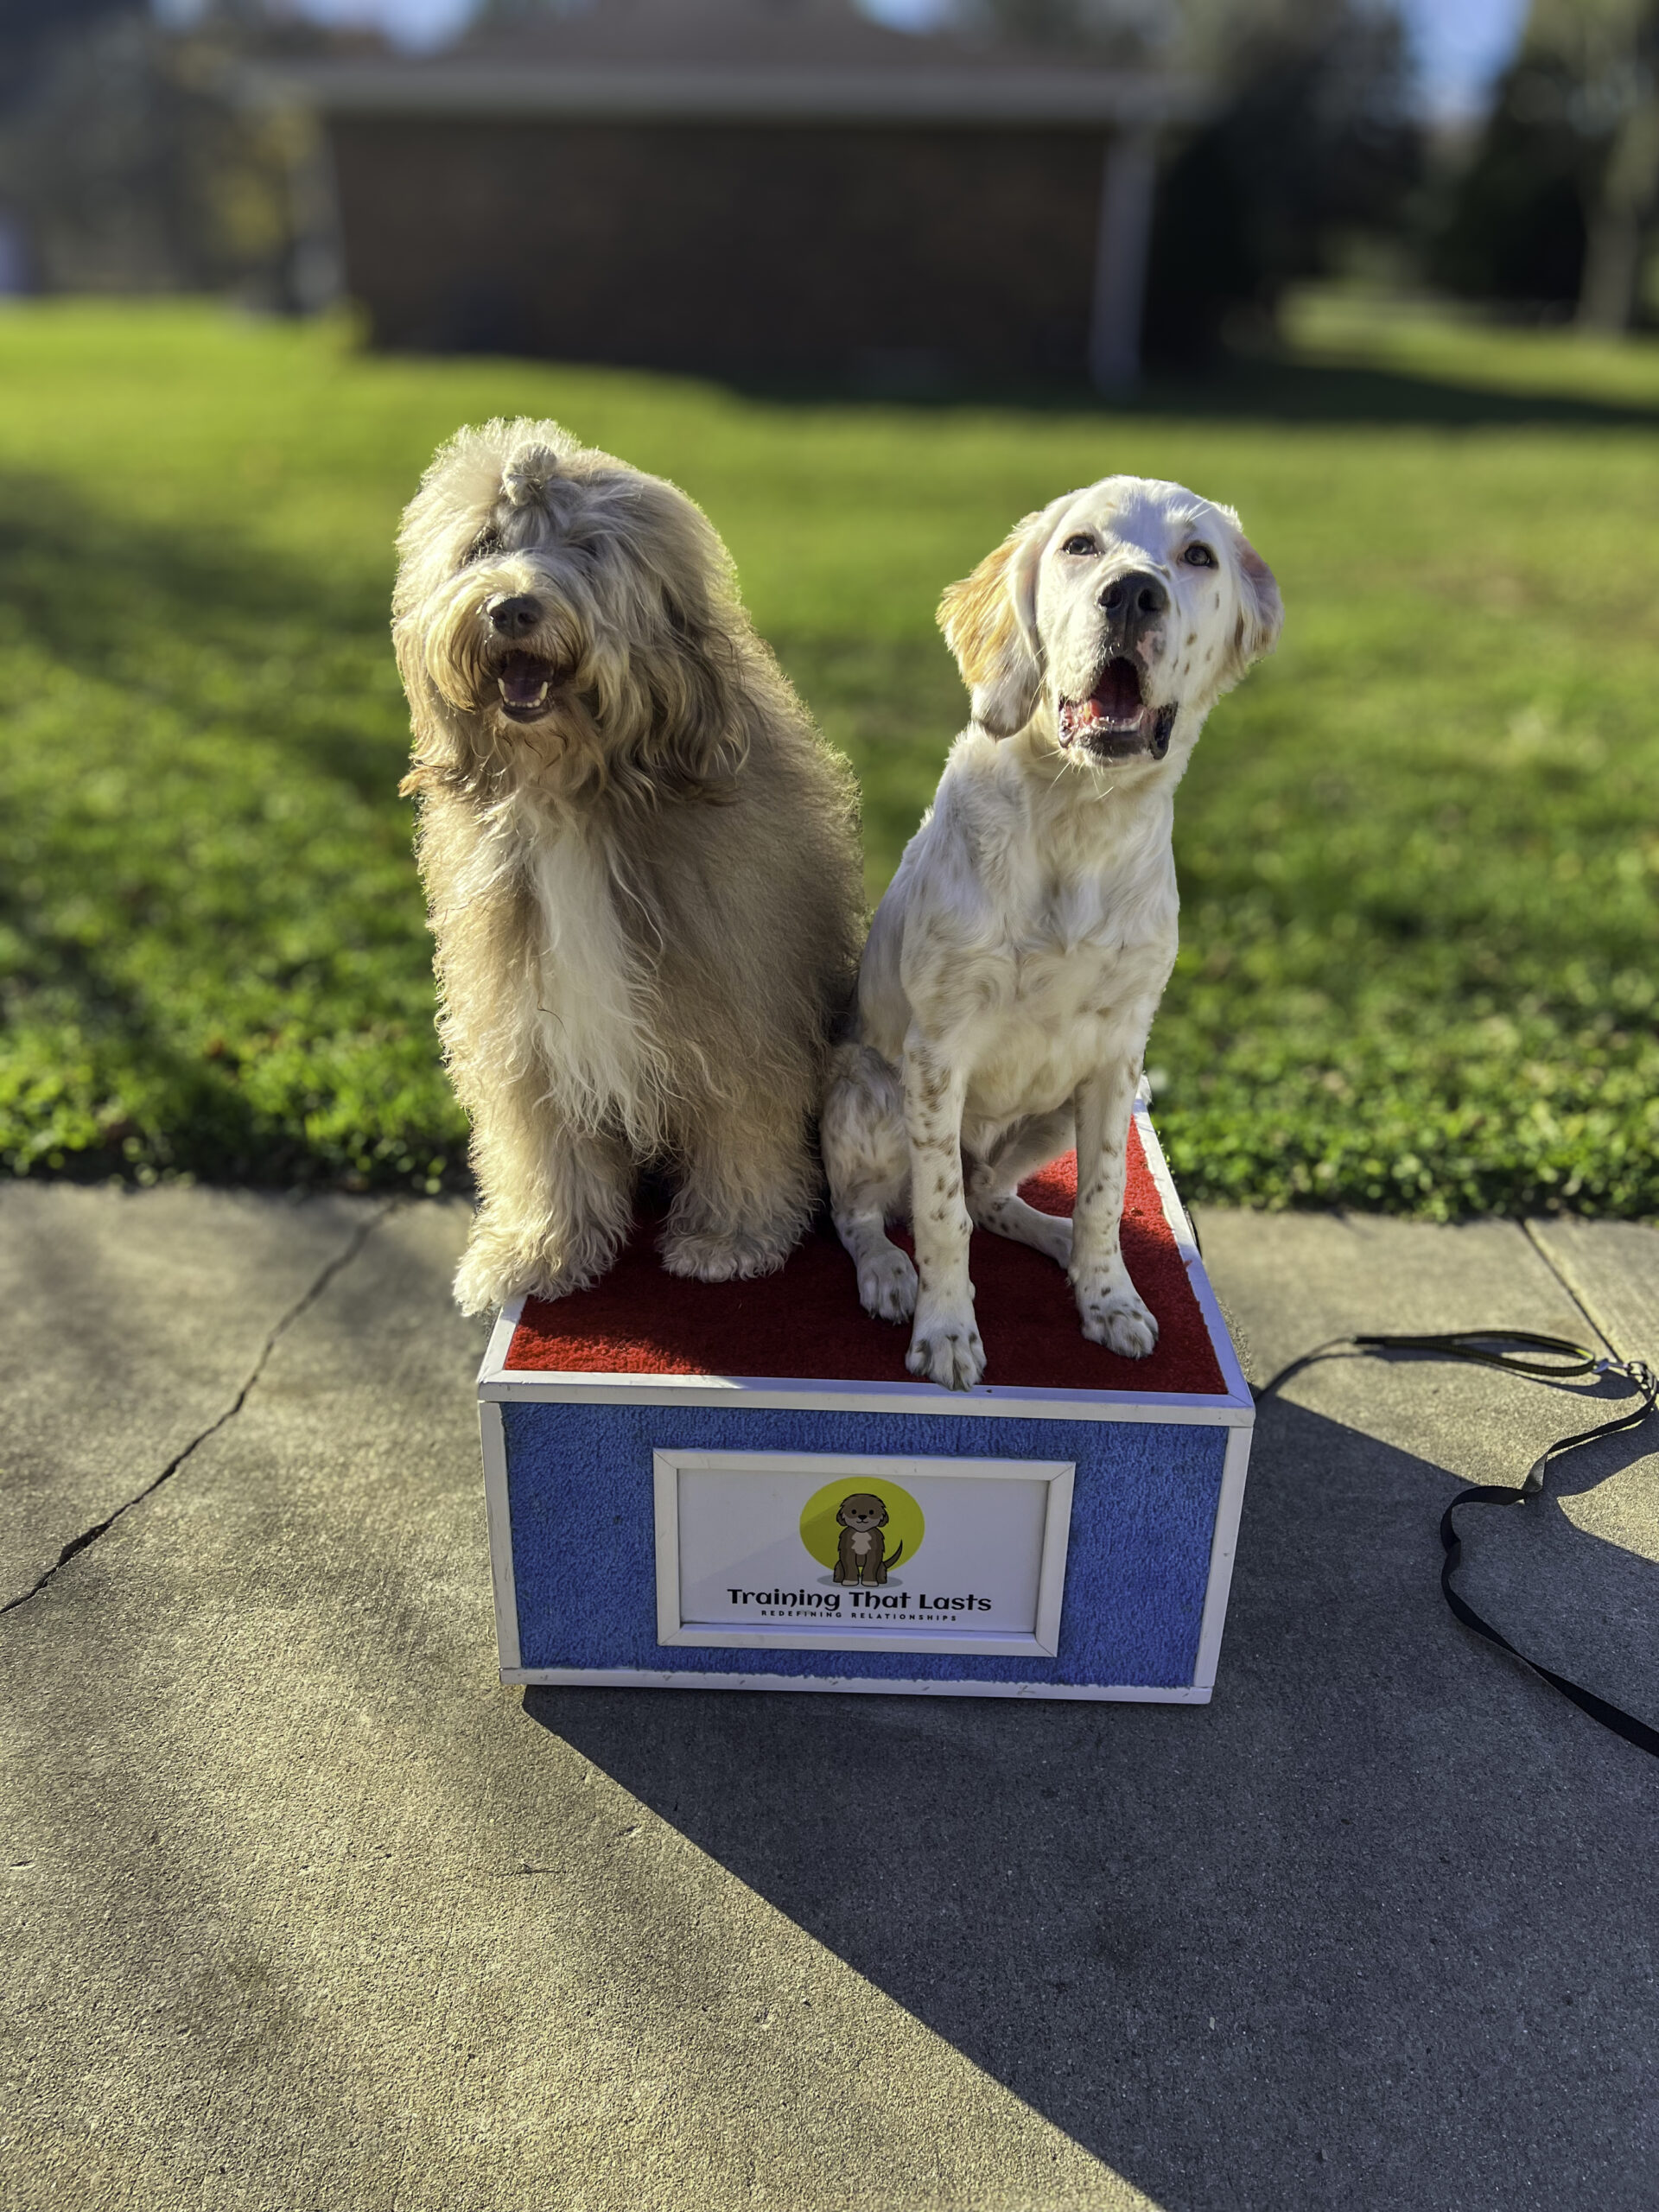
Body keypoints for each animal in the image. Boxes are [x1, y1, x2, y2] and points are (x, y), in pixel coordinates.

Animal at [396, 416, 862, 1309]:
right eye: (483, 545)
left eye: (585, 549)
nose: (511, 608)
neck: (574, 798)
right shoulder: (525, 1023)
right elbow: (545, 1144)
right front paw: (540, 1249)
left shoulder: (738, 1004)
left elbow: (742, 1118)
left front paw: (731, 1238)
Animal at [823, 475, 1282, 1389]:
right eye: (1080, 546)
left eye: (1198, 555)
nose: (1133, 593)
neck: (1079, 819)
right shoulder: (937, 1054)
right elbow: (940, 1218)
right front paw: (947, 1330)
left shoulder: (1117, 1055)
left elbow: (1102, 1192)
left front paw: (1106, 1295)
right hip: (871, 1095)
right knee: (868, 1210)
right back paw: (888, 1271)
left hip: (1045, 1119)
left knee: (995, 1198)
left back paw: (1056, 1239)